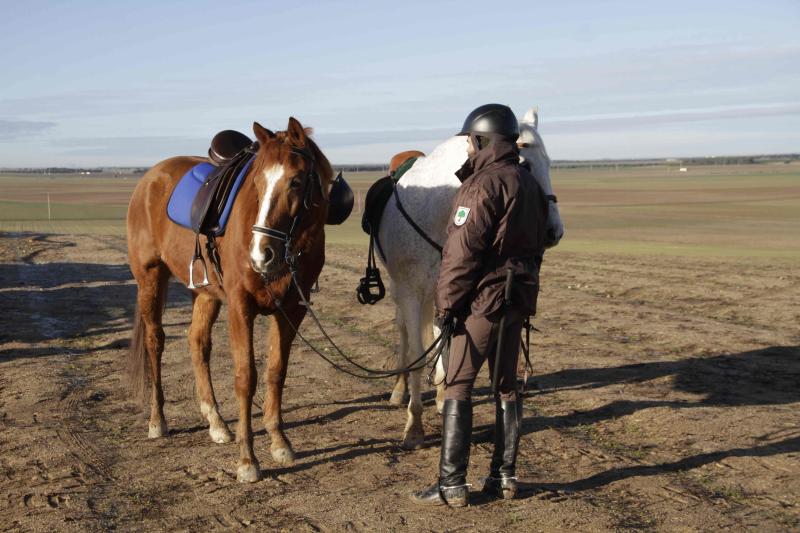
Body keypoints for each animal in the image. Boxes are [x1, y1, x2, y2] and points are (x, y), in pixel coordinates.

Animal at [126, 117, 332, 482]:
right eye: (258, 182)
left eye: (295, 181)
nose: (261, 254)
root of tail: (150, 178)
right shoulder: (240, 306)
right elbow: (245, 377)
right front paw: (247, 459)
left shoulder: (291, 310)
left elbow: (276, 371)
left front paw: (279, 441)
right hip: (150, 279)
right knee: (155, 342)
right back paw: (157, 421)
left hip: (206, 294)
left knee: (197, 343)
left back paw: (217, 422)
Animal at [380, 106, 564, 446]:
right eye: (525, 163)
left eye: (549, 163)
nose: (554, 231)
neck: (437, 209)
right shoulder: (411, 293)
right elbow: (416, 353)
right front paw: (414, 426)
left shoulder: (452, 292)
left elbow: (449, 346)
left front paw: (442, 397)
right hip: (401, 291)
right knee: (404, 333)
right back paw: (399, 390)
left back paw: (441, 394)